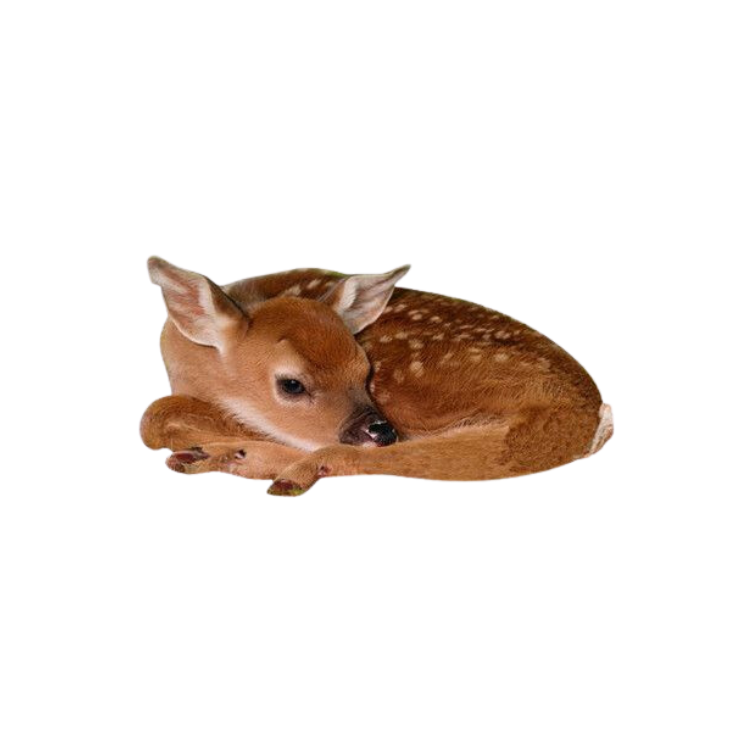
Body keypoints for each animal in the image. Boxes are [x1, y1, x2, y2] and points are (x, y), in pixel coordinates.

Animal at [138, 256, 614, 497]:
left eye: (364, 368)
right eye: (292, 384)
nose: (380, 430)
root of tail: (589, 411)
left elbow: (152, 417)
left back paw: (245, 464)